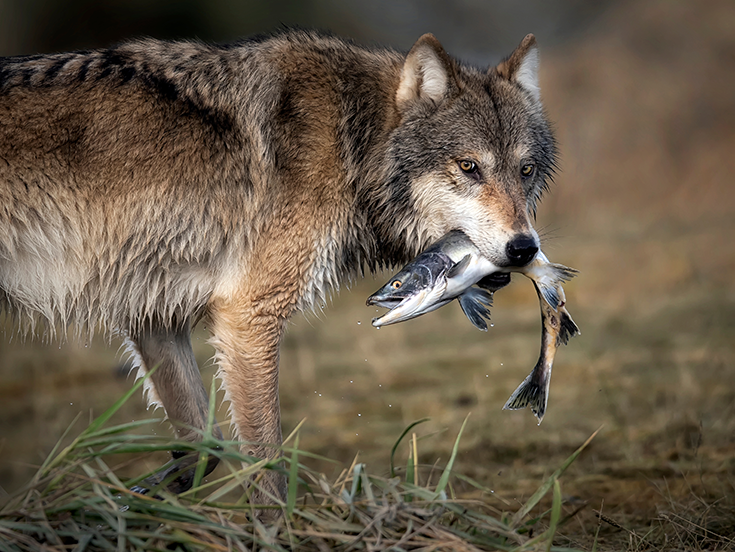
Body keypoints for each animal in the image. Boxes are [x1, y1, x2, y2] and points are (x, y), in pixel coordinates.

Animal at [0, 30, 556, 502]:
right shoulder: (248, 317)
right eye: (469, 167)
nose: (525, 249)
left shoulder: (154, 315)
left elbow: (206, 448)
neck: (352, 144)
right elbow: (263, 464)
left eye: (525, 170)